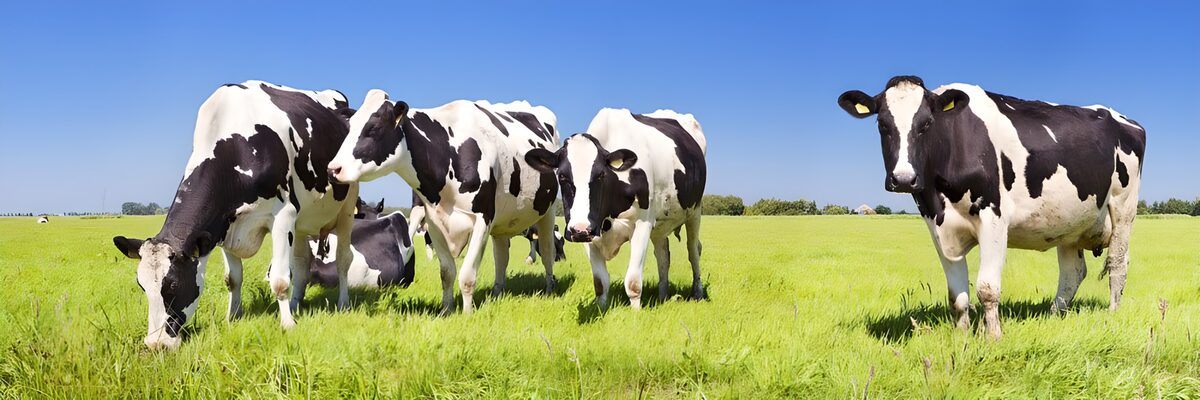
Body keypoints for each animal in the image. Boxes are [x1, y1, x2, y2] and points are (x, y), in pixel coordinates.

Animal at [111, 81, 359, 349]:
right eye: (142, 285)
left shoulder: (284, 215)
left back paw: (342, 303)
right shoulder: (222, 226)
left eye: (173, 284)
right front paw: (232, 318)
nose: (156, 344)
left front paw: (287, 325)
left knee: (343, 259)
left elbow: (280, 279)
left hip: (347, 206)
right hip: (303, 220)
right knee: (302, 264)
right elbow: (233, 279)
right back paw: (295, 305)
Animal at [327, 90, 561, 314]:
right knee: (502, 256)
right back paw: (497, 292)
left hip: (547, 211)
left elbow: (467, 276)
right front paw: (446, 310)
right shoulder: (434, 222)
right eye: (349, 128)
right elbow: (447, 272)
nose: (333, 169)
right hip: (503, 220)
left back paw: (550, 288)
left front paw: (467, 314)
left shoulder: (483, 219)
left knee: (547, 251)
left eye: (373, 128)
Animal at [525, 108, 708, 310]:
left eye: (600, 175)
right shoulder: (590, 231)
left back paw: (697, 292)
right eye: (562, 176)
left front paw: (636, 313)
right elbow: (600, 283)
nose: (579, 229)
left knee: (694, 250)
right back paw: (662, 296)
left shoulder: (642, 224)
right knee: (663, 255)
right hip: (660, 225)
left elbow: (633, 282)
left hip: (695, 211)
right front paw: (601, 309)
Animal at [837, 75, 1146, 339]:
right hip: (1070, 221)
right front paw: (961, 337)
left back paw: (1112, 313)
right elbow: (957, 295)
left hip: (1123, 207)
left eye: (926, 124)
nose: (903, 179)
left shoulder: (993, 216)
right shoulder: (936, 225)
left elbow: (986, 288)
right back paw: (1053, 315)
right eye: (882, 125)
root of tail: (1123, 118)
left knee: (1118, 263)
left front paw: (993, 337)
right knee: (1073, 272)